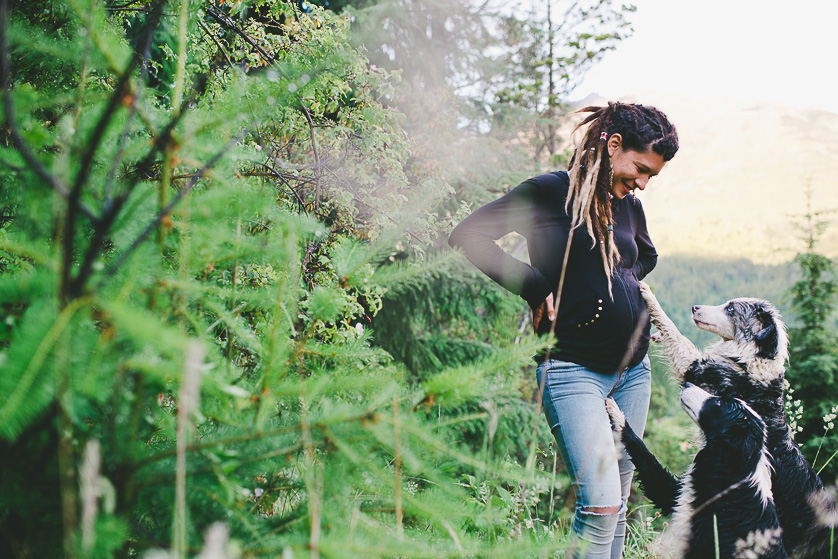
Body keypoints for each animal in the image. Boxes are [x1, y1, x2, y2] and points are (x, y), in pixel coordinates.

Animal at [608, 384, 784, 559]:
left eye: (719, 402)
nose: (687, 384)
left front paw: (617, 415)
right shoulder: (676, 495)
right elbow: (648, 462)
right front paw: (616, 413)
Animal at [640, 284, 836, 559]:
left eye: (731, 309)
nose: (694, 307)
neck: (754, 359)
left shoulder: (700, 372)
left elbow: (676, 333)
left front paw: (648, 295)